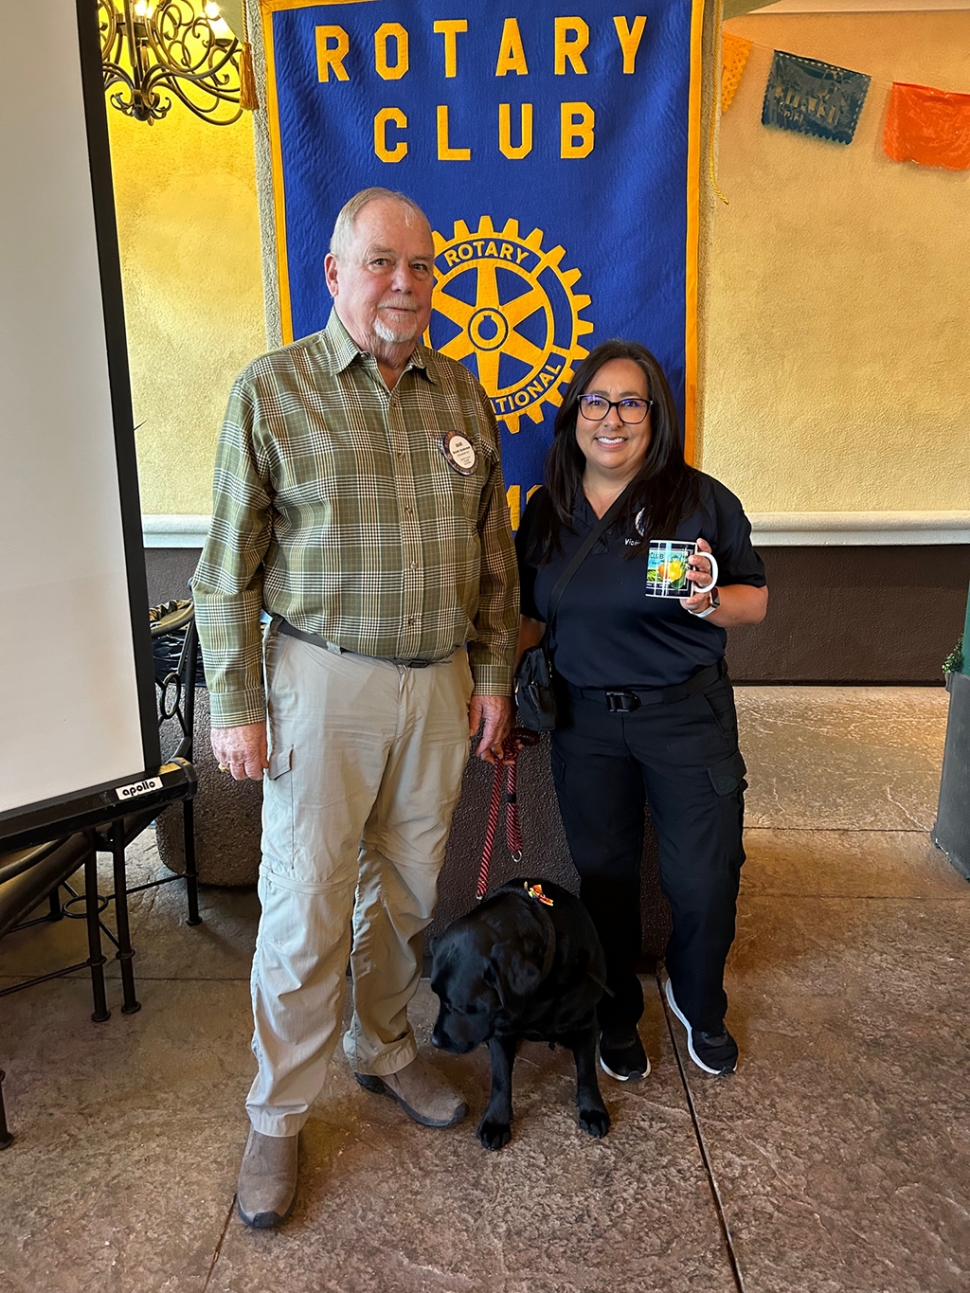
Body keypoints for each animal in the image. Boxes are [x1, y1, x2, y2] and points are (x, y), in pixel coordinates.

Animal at [431, 879, 610, 1153]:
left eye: (458, 1006)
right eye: (438, 997)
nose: (435, 1041)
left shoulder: (585, 1021)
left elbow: (587, 1071)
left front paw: (592, 1110)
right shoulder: (500, 1030)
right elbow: (501, 1079)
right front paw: (497, 1121)